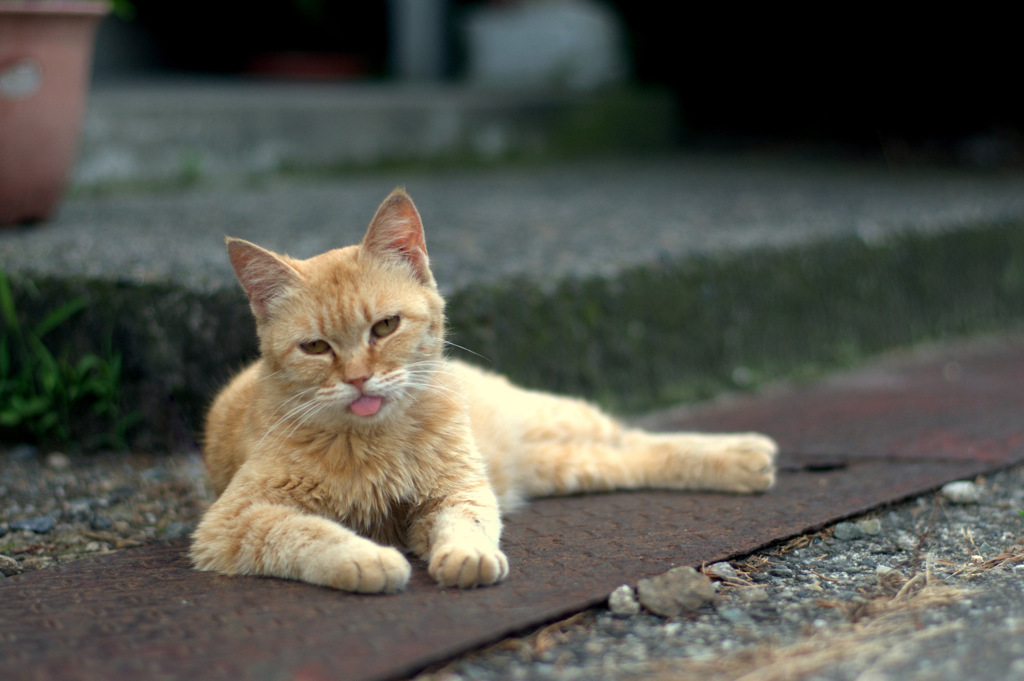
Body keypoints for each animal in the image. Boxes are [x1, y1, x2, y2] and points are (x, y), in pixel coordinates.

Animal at [190, 188, 774, 593]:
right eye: (315, 347)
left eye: (385, 327)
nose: (357, 378)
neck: (377, 439)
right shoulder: (233, 520)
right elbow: (306, 533)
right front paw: (368, 558)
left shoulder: (458, 488)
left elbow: (467, 521)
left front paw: (466, 556)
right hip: (562, 464)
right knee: (633, 457)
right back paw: (744, 462)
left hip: (553, 420)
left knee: (636, 436)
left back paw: (746, 454)